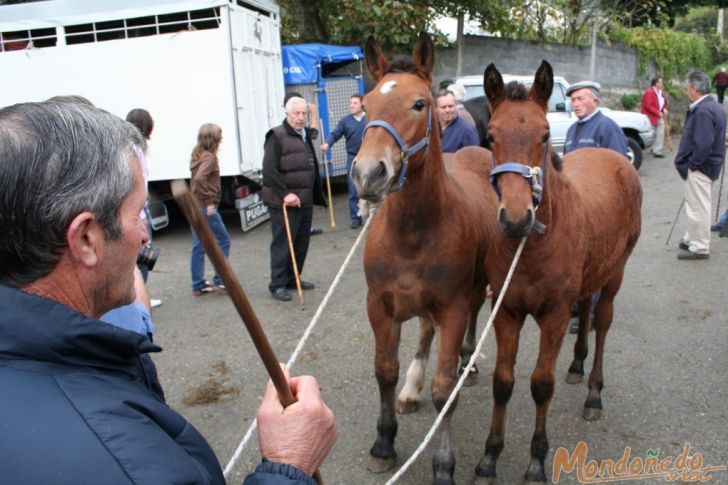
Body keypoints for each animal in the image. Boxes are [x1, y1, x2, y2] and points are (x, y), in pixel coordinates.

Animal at [350, 32, 498, 482]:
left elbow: (444, 388)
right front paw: (383, 442)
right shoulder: (380, 305)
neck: (413, 233)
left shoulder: (452, 307)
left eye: (419, 104)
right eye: (367, 105)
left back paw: (469, 362)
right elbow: (385, 369)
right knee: (424, 333)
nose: (368, 174)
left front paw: (443, 464)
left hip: (477, 289)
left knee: (470, 322)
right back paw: (412, 388)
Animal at [478, 62, 644, 482]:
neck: (531, 247)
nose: (516, 219)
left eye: (543, 136)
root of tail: (616, 159)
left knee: (602, 321)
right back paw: (576, 363)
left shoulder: (553, 315)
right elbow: (502, 382)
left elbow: (541, 384)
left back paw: (594, 393)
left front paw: (537, 461)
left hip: (615, 274)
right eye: (491, 136)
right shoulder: (506, 311)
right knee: (584, 310)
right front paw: (489, 456)